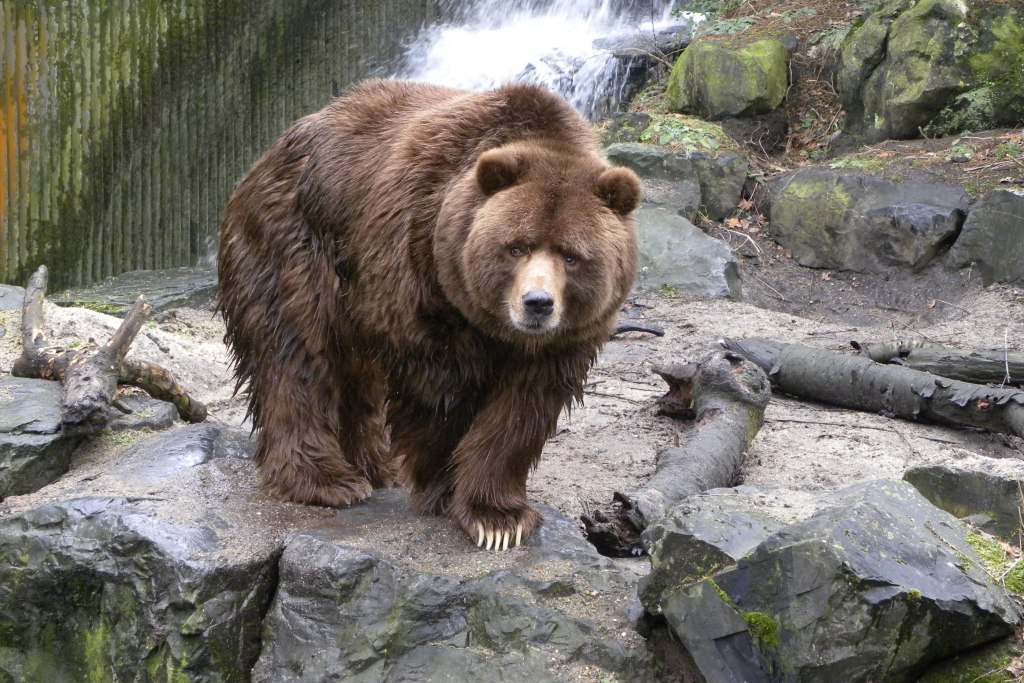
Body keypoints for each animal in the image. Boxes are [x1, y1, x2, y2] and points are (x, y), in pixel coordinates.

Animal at [218, 80, 638, 548]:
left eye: (570, 255)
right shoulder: (420, 268)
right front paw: (449, 489)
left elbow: (523, 409)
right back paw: (326, 480)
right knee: (297, 351)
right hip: (297, 244)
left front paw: (498, 517)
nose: (537, 303)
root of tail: (271, 151)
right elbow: (438, 392)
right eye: (516, 247)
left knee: (355, 373)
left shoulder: (563, 341)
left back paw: (375, 465)